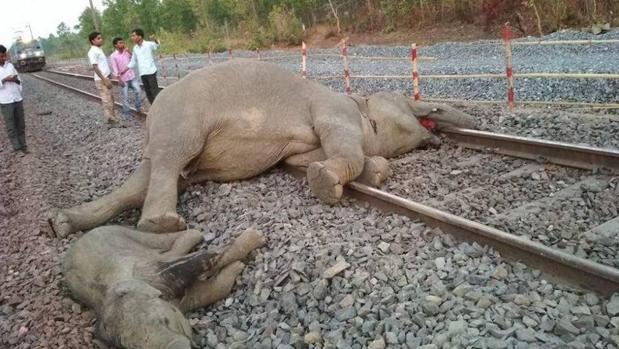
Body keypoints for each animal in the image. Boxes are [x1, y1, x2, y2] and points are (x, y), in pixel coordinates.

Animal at [49, 59, 474, 235]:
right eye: (408, 98)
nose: (439, 130)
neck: (361, 104)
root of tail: (150, 119)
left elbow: (302, 159)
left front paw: (371, 171)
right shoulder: (332, 108)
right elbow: (339, 142)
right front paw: (327, 184)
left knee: (142, 182)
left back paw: (62, 223)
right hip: (181, 119)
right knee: (171, 162)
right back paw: (162, 226)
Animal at [64, 226, 266, 348]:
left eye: (165, 321)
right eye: (136, 348)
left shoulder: (151, 271)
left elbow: (200, 259)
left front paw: (255, 238)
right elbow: (202, 293)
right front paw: (237, 267)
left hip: (120, 232)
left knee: (161, 242)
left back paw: (195, 235)